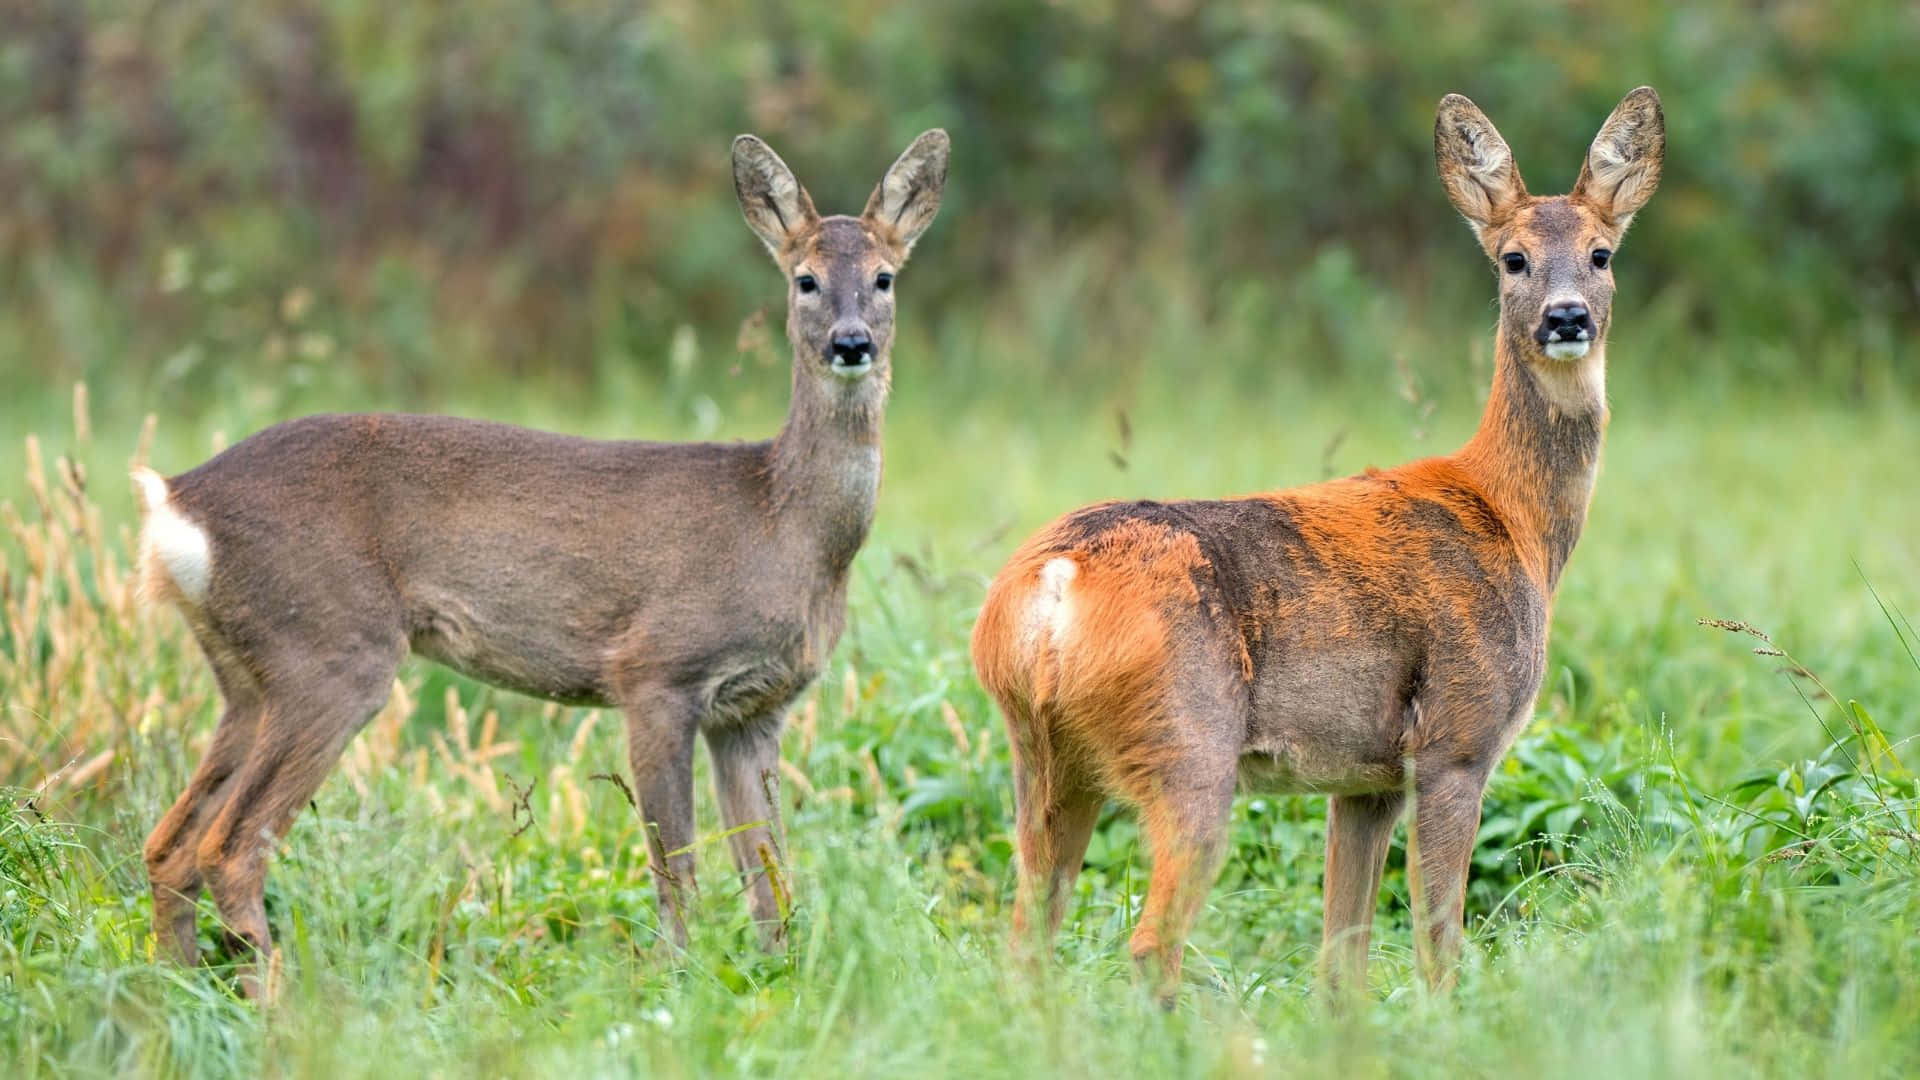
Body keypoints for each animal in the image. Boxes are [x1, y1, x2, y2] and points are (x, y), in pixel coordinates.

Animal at [132, 128, 949, 997]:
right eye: (805, 279)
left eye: (885, 277)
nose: (851, 343)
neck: (782, 523)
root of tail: (176, 502)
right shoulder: (656, 671)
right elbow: (677, 865)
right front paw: (677, 984)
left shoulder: (756, 709)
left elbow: (769, 876)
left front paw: (778, 981)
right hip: (329, 648)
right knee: (229, 847)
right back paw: (280, 1007)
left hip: (248, 675)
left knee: (170, 845)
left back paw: (173, 990)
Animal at [971, 88, 1663, 1006]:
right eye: (1512, 259)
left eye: (1601, 254)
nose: (1566, 317)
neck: (1511, 518)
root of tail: (1053, 582)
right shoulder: (1457, 737)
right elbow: (1438, 943)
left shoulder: (1364, 779)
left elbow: (1342, 958)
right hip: (1188, 742)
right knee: (1151, 940)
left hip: (1042, 754)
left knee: (1027, 936)